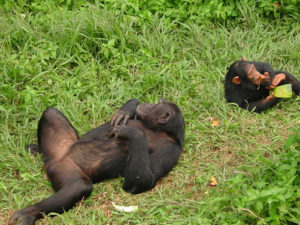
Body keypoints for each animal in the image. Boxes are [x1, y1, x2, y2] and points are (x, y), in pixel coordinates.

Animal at [8, 98, 184, 225]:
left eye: (158, 104)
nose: (149, 103)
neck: (156, 129)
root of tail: (51, 162)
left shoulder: (171, 151)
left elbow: (143, 182)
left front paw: (132, 131)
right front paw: (130, 106)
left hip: (64, 170)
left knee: (79, 186)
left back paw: (29, 214)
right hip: (60, 147)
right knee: (51, 113)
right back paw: (37, 149)